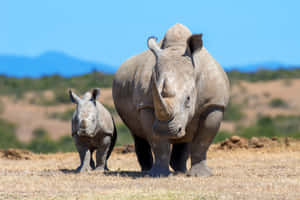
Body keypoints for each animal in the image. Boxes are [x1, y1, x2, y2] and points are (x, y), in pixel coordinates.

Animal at [112, 23, 230, 177]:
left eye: (188, 99)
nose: (166, 130)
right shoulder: (146, 105)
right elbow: (158, 142)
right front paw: (158, 174)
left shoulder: (214, 104)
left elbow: (203, 140)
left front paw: (200, 175)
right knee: (137, 133)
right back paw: (147, 171)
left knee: (187, 135)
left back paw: (181, 170)